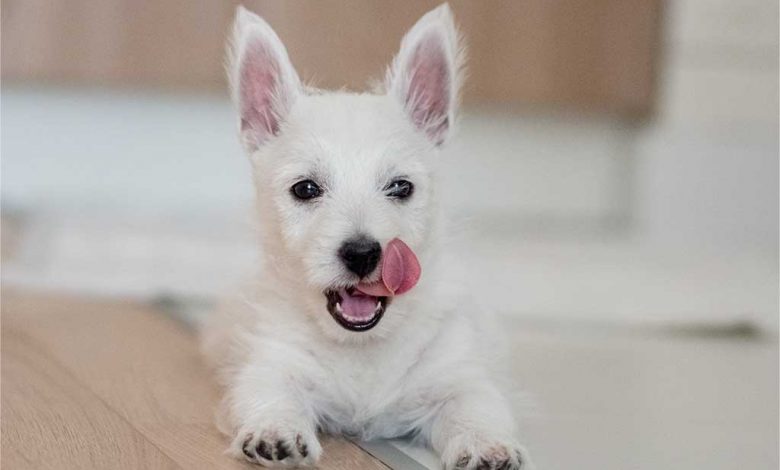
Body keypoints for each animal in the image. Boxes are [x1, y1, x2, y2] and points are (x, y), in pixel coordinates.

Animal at [200, 3, 536, 470]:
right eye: (306, 189)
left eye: (400, 187)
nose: (361, 253)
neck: (363, 346)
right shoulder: (270, 364)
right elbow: (270, 394)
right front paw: (276, 432)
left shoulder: (459, 374)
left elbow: (474, 405)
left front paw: (487, 445)